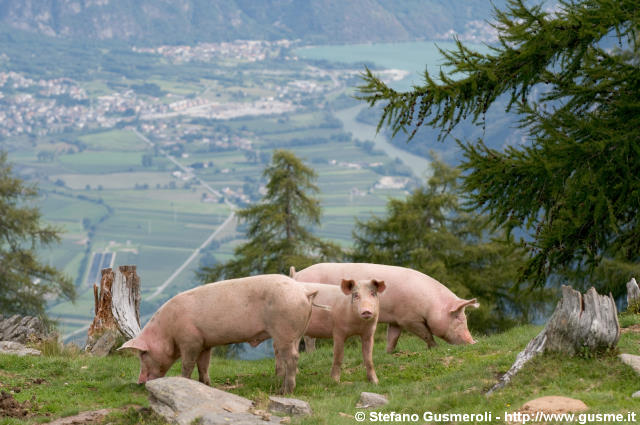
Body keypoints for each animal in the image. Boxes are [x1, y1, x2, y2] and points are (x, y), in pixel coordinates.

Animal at [119, 274, 318, 392]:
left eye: (143, 354)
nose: (140, 382)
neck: (168, 331)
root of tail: (303, 291)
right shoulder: (205, 343)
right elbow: (203, 365)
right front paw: (206, 385)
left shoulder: (190, 340)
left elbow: (187, 364)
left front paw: (184, 381)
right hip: (296, 332)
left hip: (285, 330)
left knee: (292, 357)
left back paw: (285, 391)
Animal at [292, 262, 478, 352]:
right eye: (458, 318)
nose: (473, 342)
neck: (430, 305)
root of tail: (296, 275)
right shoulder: (409, 318)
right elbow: (426, 334)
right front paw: (435, 348)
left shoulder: (396, 319)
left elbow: (393, 337)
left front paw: (388, 353)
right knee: (308, 337)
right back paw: (312, 354)